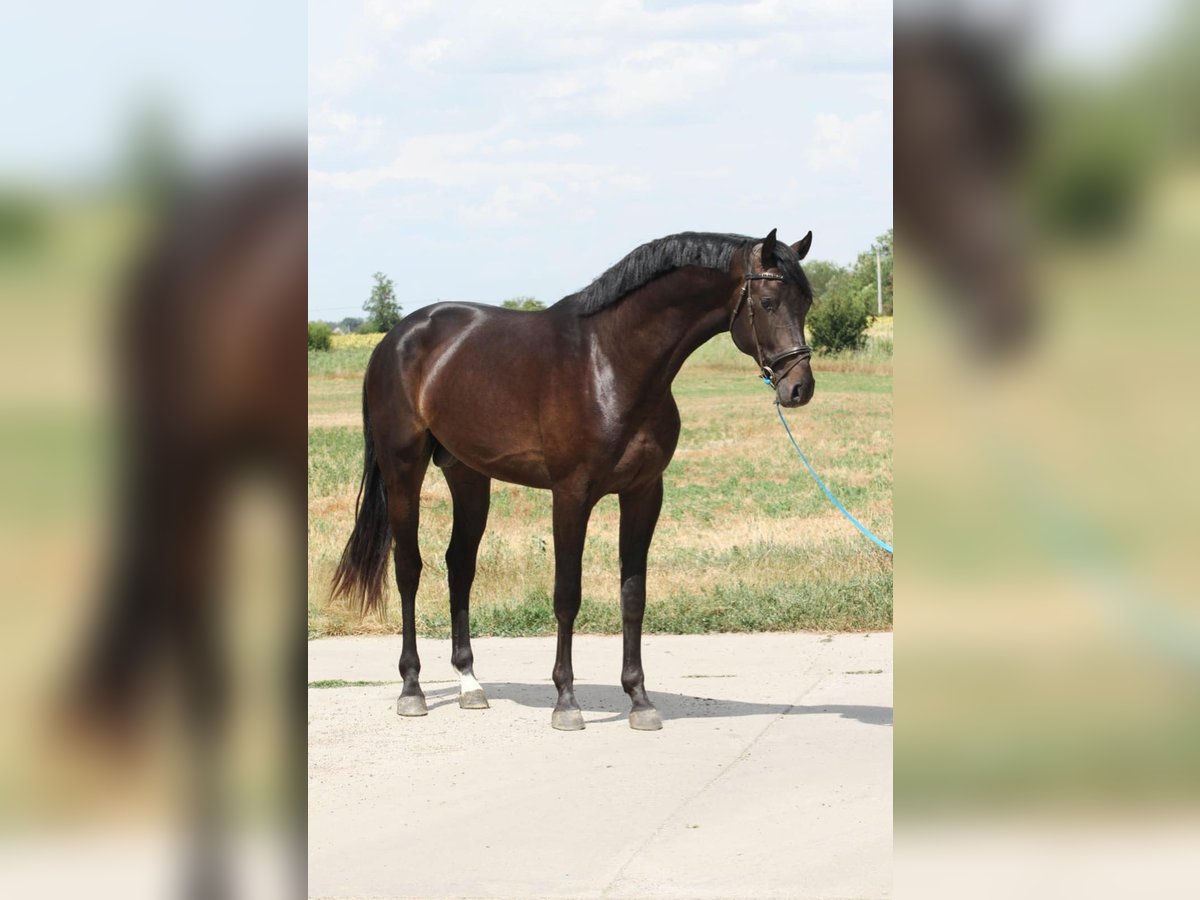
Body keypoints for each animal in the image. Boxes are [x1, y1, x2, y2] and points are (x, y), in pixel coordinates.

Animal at [328, 229, 816, 729]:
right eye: (769, 301)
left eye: (807, 303)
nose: (799, 388)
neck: (610, 363)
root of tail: (396, 339)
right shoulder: (571, 494)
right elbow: (567, 594)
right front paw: (566, 701)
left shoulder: (644, 493)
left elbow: (633, 594)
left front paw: (639, 699)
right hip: (403, 470)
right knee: (408, 569)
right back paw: (412, 689)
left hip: (468, 476)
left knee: (459, 565)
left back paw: (469, 684)